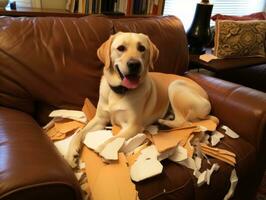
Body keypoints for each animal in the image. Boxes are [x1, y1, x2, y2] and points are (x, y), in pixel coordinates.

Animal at [66, 32, 210, 166]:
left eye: (141, 48)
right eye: (121, 48)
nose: (134, 64)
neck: (120, 92)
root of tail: (206, 97)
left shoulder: (132, 126)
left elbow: (114, 138)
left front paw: (103, 149)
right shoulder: (99, 119)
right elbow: (80, 132)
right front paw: (71, 153)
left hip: (175, 86)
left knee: (184, 122)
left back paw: (163, 122)